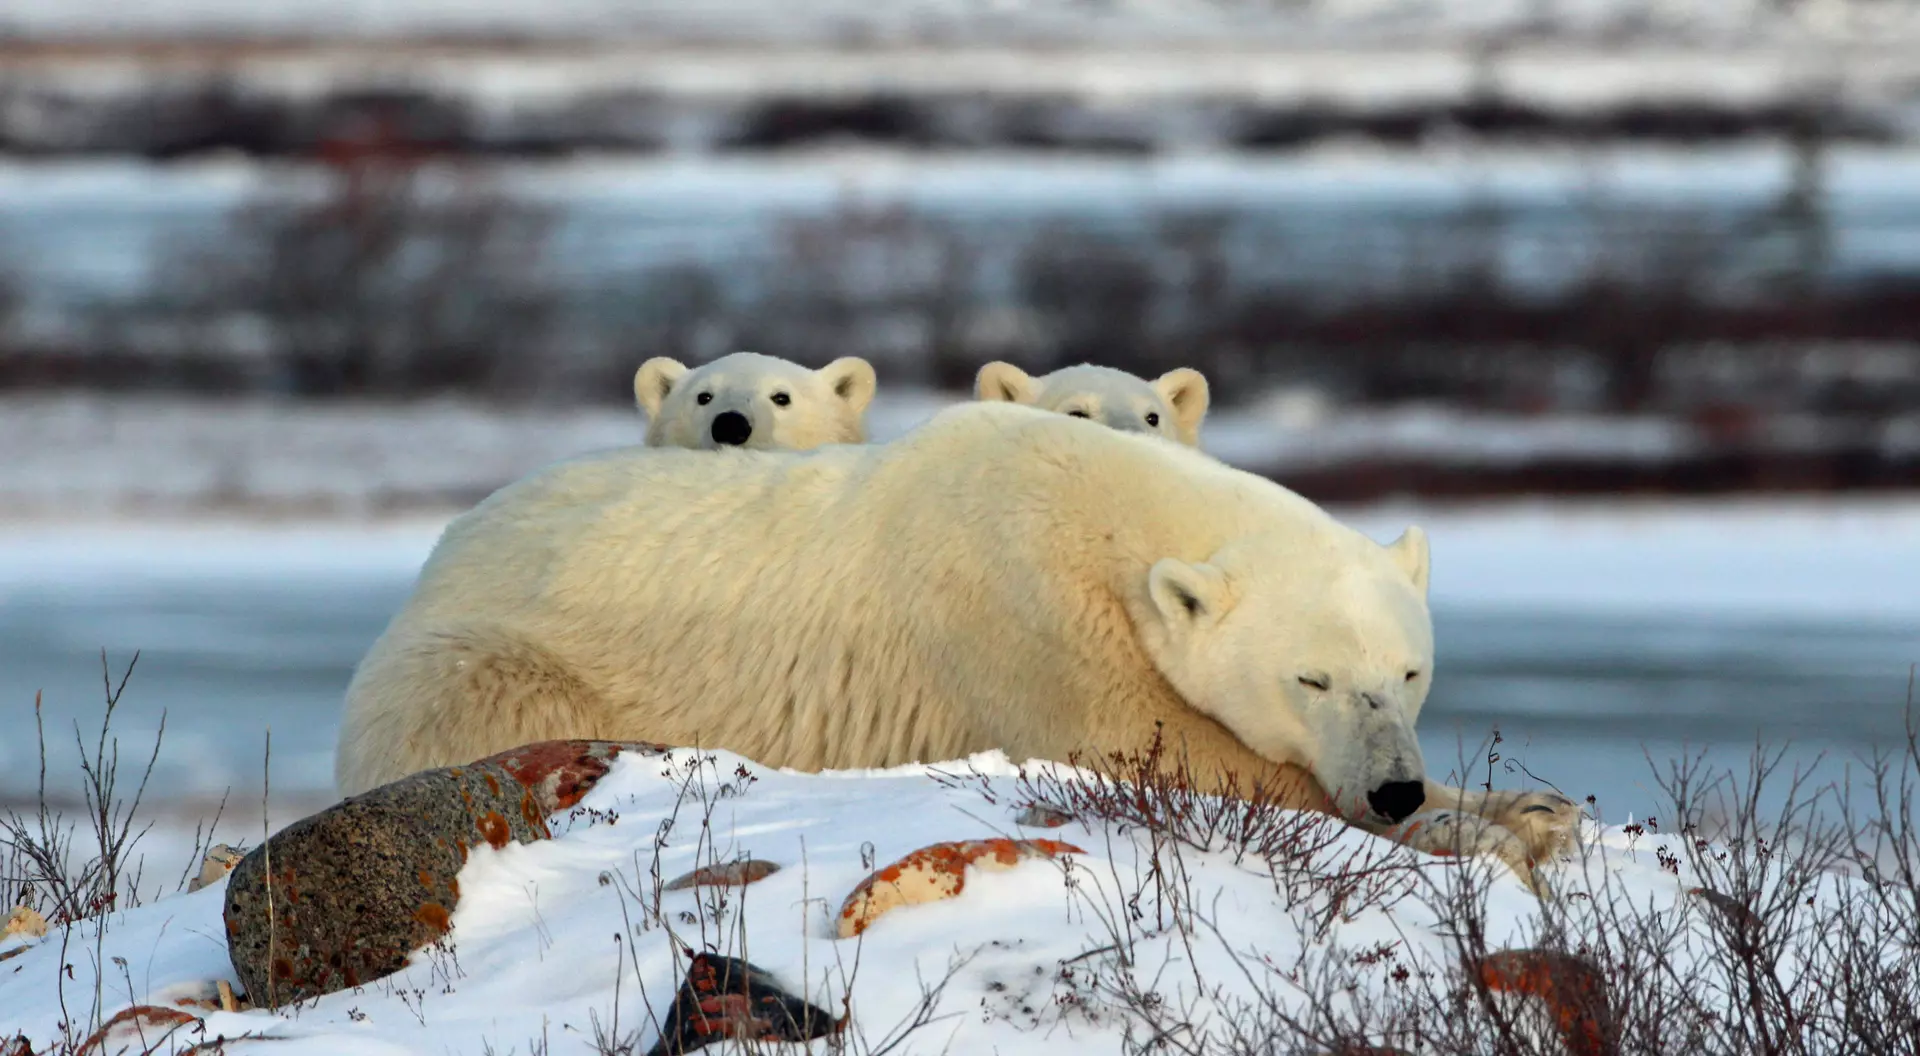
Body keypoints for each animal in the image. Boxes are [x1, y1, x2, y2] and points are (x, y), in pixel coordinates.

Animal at [334, 402, 1576, 878]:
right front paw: (1484, 835)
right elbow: (1186, 760)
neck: (1104, 516)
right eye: (1310, 676)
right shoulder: (1025, 621)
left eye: (1407, 670)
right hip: (484, 658)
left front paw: (1533, 807)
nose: (1398, 787)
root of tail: (438, 552)